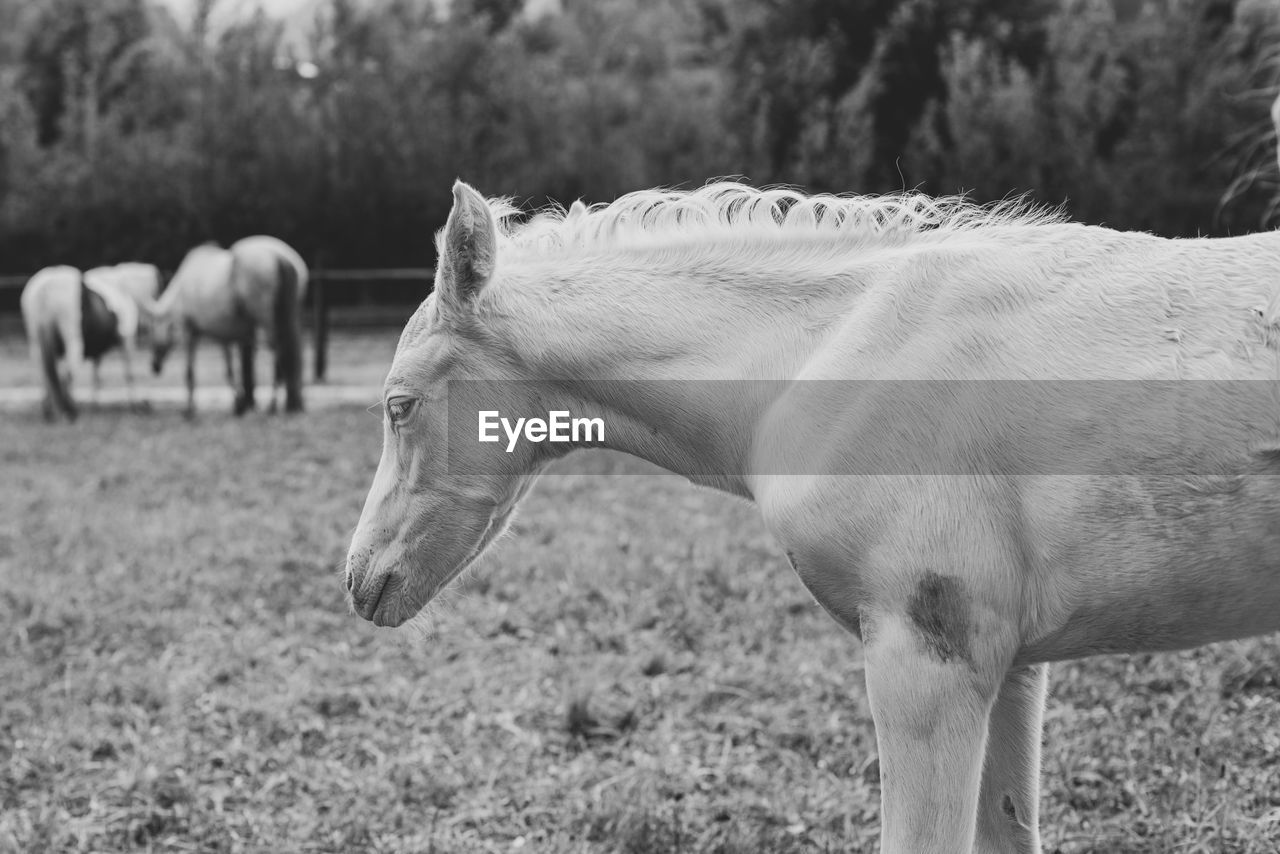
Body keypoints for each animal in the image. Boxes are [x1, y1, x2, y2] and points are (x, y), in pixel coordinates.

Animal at [20, 262, 147, 419]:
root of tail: (44, 290)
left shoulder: (98, 348)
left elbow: (96, 376)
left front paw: (94, 406)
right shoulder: (125, 339)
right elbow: (129, 373)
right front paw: (135, 406)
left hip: (36, 342)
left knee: (45, 374)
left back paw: (51, 411)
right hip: (73, 340)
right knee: (67, 374)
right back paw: (70, 410)